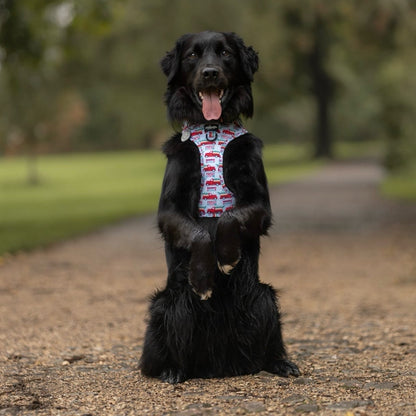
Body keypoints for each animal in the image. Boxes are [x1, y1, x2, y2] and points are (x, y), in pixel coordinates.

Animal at [140, 30, 300, 384]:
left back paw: (280, 363)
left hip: (264, 297)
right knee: (162, 355)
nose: (210, 73)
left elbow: (229, 216)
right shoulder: (168, 211)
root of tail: (217, 367)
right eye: (192, 56)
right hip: (169, 304)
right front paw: (204, 278)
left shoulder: (259, 205)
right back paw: (173, 370)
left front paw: (226, 257)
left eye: (225, 53)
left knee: (268, 346)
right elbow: (200, 233)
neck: (212, 132)